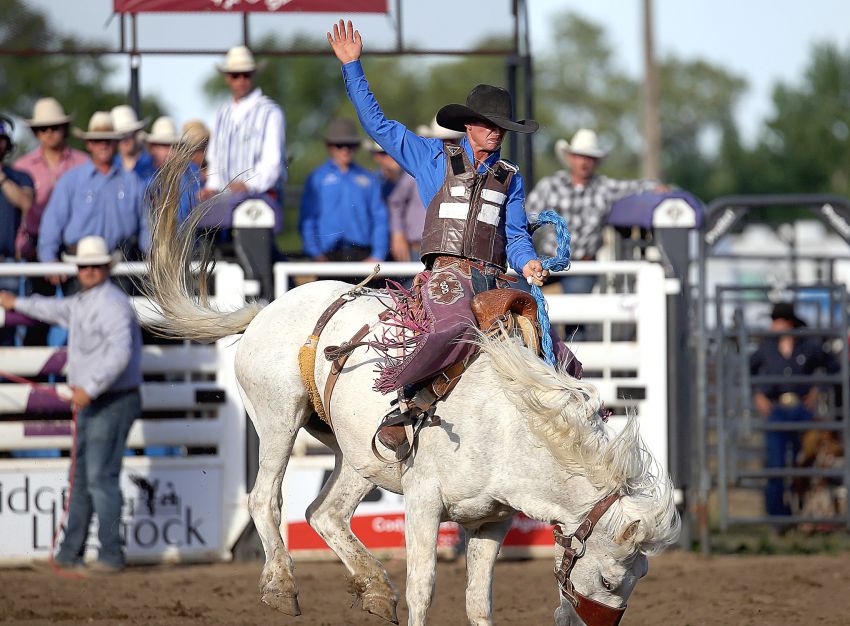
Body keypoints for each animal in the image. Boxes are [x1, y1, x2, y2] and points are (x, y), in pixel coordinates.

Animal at [142, 154, 680, 620]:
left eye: (639, 578)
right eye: (609, 579)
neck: (509, 427)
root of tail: (266, 309)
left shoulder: (493, 520)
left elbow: (478, 601)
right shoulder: (423, 501)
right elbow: (423, 588)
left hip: (358, 453)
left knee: (324, 513)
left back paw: (376, 590)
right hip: (279, 418)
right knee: (264, 497)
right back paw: (281, 585)